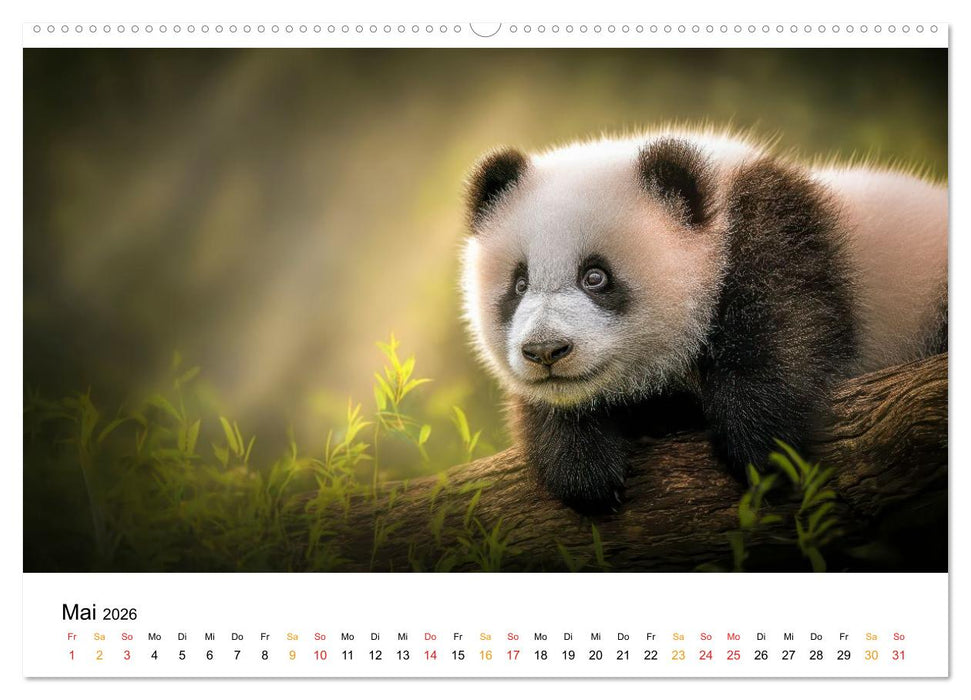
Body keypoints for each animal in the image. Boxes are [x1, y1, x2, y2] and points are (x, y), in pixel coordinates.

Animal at [460, 129, 947, 512]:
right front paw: (583, 466)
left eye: (595, 276)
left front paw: (760, 443)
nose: (545, 351)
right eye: (519, 284)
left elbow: (789, 331)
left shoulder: (781, 239)